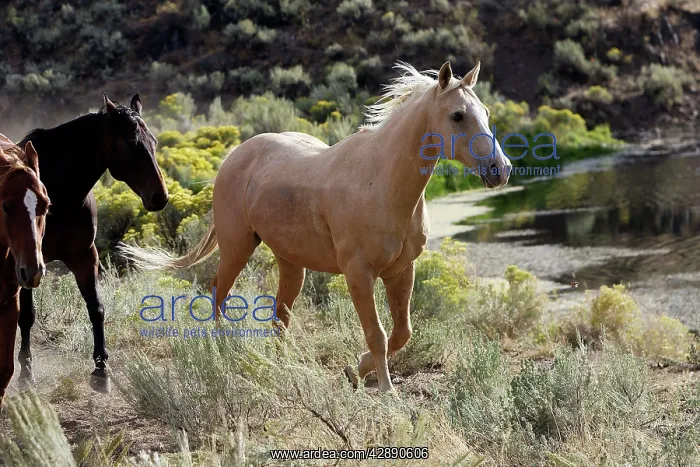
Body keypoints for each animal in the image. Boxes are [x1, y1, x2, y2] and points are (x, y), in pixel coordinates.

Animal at [17, 94, 169, 393]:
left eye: (154, 142)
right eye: (130, 144)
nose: (160, 197)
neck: (58, 194)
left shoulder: (85, 257)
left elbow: (96, 308)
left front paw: (101, 370)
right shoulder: (27, 264)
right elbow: (27, 315)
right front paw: (26, 374)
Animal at [121, 62, 511, 392]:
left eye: (486, 113)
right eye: (457, 115)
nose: (501, 170)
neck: (382, 182)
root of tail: (235, 155)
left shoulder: (402, 270)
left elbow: (402, 332)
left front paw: (355, 370)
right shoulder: (359, 273)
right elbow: (378, 334)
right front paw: (386, 392)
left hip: (291, 263)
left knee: (279, 316)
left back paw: (281, 368)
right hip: (237, 248)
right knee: (218, 294)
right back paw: (223, 355)